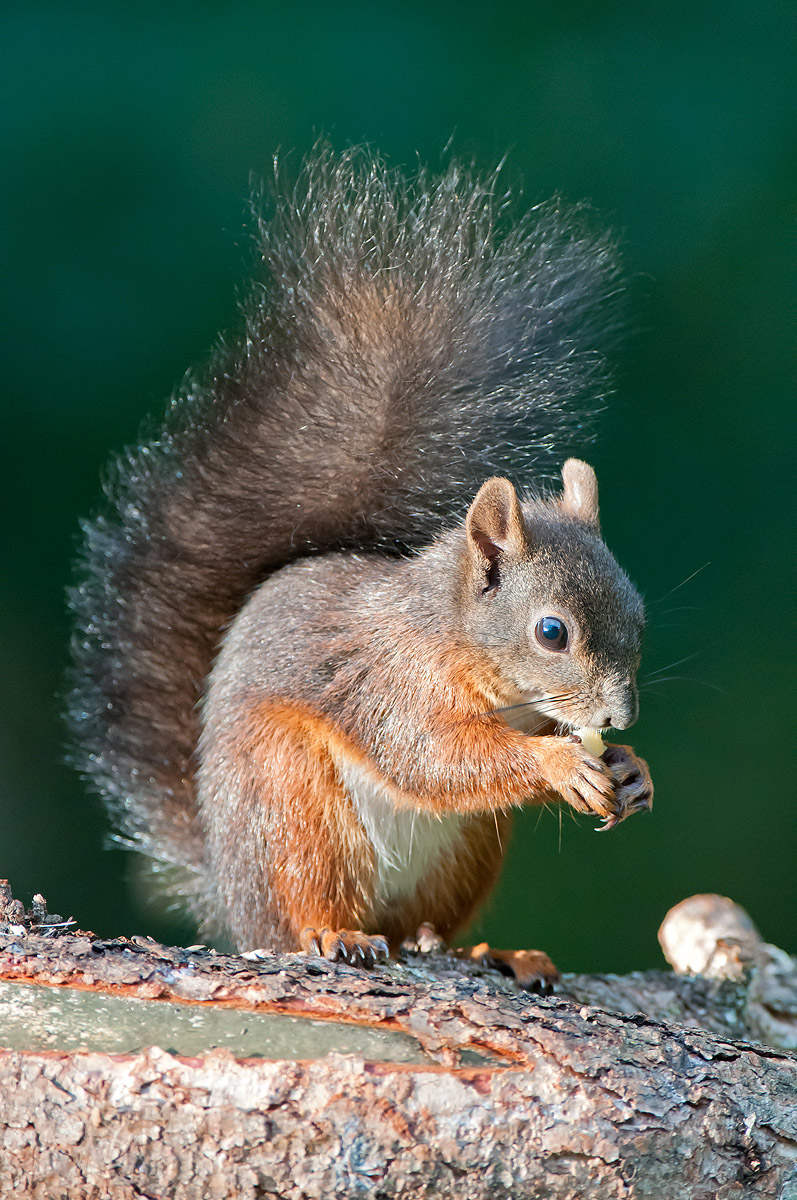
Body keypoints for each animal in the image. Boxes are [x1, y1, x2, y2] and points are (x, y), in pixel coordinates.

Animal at [68, 146, 653, 987]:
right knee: (313, 908)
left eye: (639, 615)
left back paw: (490, 951)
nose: (617, 719)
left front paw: (632, 770)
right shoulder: (389, 682)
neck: (454, 639)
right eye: (551, 632)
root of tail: (232, 895)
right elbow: (431, 755)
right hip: (294, 804)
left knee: (420, 929)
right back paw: (334, 933)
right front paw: (556, 763)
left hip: (467, 847)